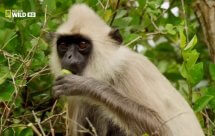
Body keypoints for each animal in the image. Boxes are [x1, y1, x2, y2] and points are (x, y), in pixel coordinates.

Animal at [49, 3, 205, 135]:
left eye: (82, 44)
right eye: (63, 45)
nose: (69, 56)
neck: (108, 71)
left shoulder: (128, 72)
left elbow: (162, 128)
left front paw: (87, 86)